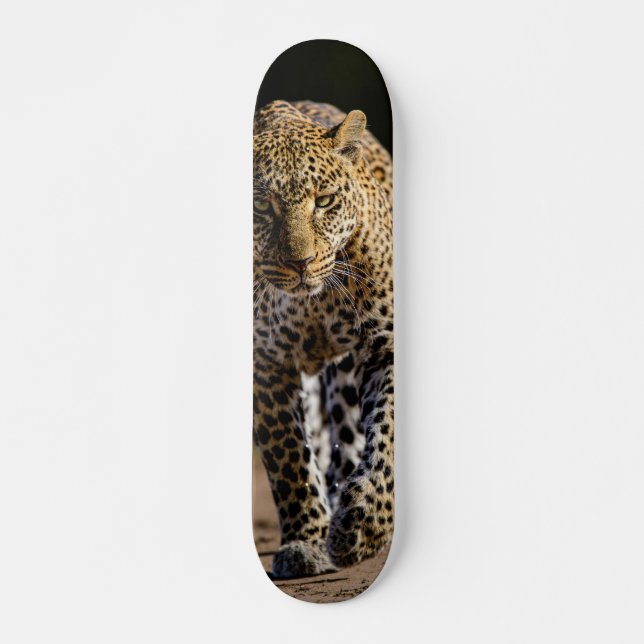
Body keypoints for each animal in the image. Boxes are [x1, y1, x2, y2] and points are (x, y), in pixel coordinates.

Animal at [253, 99, 394, 579]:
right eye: (262, 207)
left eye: (325, 200)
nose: (302, 262)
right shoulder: (264, 363)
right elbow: (289, 458)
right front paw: (304, 543)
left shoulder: (385, 346)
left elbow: (386, 437)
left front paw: (363, 526)